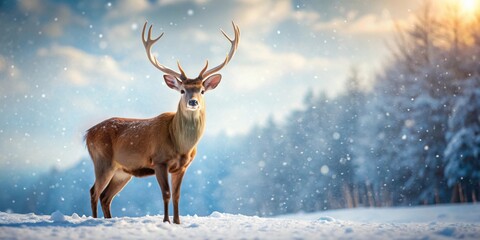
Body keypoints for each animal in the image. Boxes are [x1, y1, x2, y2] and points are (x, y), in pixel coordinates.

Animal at [86, 21, 240, 224]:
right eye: (182, 90)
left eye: (202, 90)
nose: (193, 102)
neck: (181, 146)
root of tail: (87, 134)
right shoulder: (159, 160)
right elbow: (166, 193)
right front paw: (166, 221)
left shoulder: (182, 166)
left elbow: (177, 195)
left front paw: (177, 222)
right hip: (102, 160)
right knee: (94, 192)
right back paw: (94, 220)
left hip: (122, 171)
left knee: (106, 196)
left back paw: (108, 220)